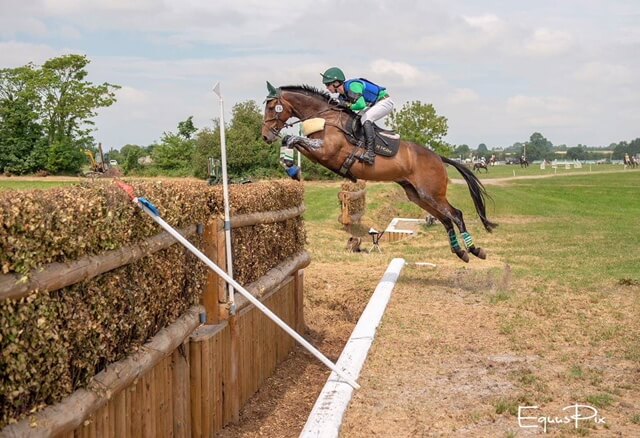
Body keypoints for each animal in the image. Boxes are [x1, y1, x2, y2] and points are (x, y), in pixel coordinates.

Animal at [261, 84, 497, 262]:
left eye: (272, 107)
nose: (265, 136)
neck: (325, 118)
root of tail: (439, 158)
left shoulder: (327, 151)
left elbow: (292, 138)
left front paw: (291, 166)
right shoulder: (318, 154)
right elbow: (290, 140)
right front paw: (291, 168)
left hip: (431, 193)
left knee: (456, 215)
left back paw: (475, 250)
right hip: (417, 195)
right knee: (446, 220)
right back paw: (460, 252)